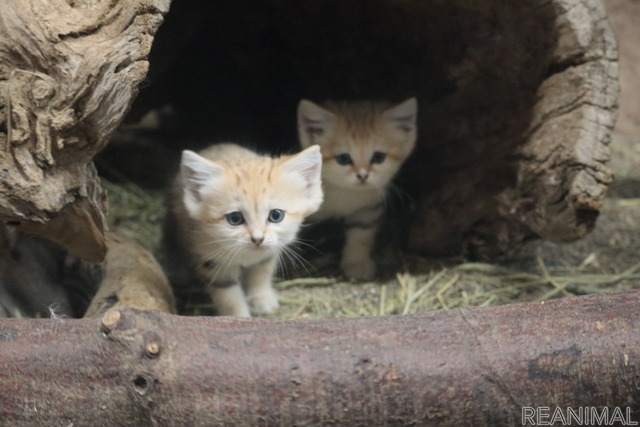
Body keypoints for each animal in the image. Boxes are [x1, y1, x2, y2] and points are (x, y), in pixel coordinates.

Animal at [165, 145, 324, 318]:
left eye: (276, 215)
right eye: (235, 218)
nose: (258, 239)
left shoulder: (269, 253)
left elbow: (261, 273)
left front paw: (260, 298)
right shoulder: (211, 261)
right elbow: (228, 296)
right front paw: (239, 317)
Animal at [298, 99, 418, 282]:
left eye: (378, 157)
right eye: (343, 159)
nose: (362, 176)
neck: (343, 192)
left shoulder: (368, 209)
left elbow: (360, 235)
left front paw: (357, 263)